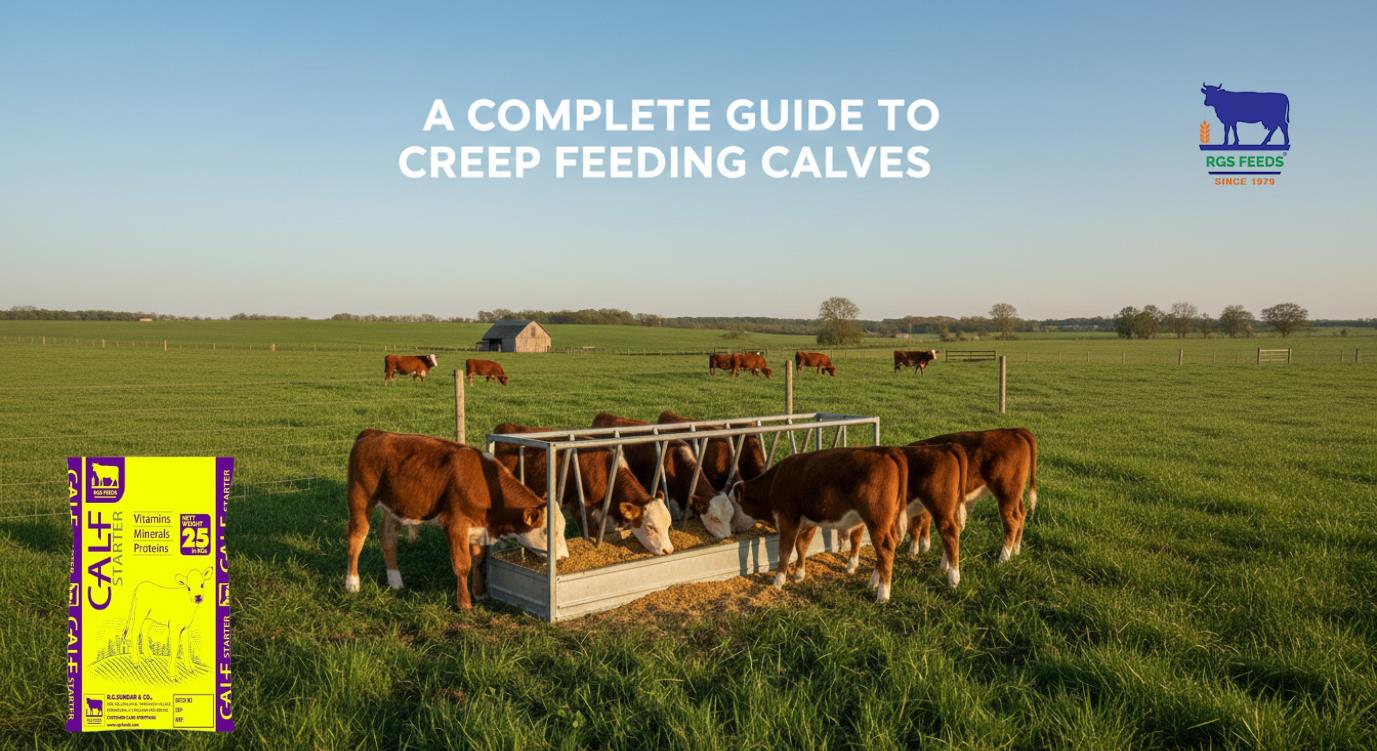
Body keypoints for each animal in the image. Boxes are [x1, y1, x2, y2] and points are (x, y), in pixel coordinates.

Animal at [344, 429, 567, 610]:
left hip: (395, 507)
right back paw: (352, 583)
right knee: (356, 538)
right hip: (360, 500)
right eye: (547, 531)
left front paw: (479, 594)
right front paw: (464, 603)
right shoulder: (455, 525)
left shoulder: (479, 529)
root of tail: (374, 433)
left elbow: (478, 561)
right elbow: (462, 564)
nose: (564, 557)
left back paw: (395, 581)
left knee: (388, 538)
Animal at [492, 423, 674, 555]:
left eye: (668, 524)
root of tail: (505, 426)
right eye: (650, 527)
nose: (668, 550)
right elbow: (590, 535)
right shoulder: (579, 508)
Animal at [704, 447, 907, 602]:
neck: (774, 483)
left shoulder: (787, 519)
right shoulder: (809, 522)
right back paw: (873, 582)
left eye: (733, 507)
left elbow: (785, 551)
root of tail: (885, 451)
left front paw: (778, 581)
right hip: (885, 522)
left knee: (885, 549)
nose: (732, 530)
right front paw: (799, 574)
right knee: (884, 550)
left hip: (876, 520)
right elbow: (802, 546)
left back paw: (883, 594)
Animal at [906, 428, 1038, 564]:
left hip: (1006, 492)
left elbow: (916, 524)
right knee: (1021, 514)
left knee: (1012, 521)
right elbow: (924, 521)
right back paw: (1016, 551)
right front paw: (924, 548)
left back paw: (1003, 558)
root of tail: (1014, 430)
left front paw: (913, 552)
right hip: (1015, 493)